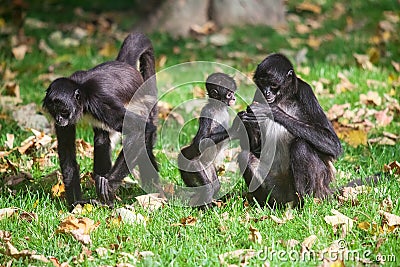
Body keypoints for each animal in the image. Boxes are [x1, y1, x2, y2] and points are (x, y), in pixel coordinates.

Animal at [41, 31, 158, 209]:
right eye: (55, 112)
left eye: (64, 111)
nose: (60, 119)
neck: (82, 89)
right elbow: (67, 152)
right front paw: (76, 204)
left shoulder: (100, 102)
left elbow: (143, 129)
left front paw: (108, 186)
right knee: (102, 139)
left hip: (143, 105)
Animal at [177, 73, 236, 207]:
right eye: (229, 94)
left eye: (233, 93)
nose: (234, 99)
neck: (218, 108)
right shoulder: (207, 111)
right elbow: (199, 142)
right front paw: (238, 126)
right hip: (195, 165)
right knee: (209, 187)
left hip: (209, 167)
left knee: (216, 185)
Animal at [234, 54, 344, 209]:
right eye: (262, 83)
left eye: (273, 85)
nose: (266, 92)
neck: (283, 98)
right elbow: (255, 148)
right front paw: (245, 119)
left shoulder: (305, 91)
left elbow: (334, 145)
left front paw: (273, 111)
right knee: (246, 156)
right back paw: (266, 205)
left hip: (320, 186)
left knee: (300, 146)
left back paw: (303, 204)